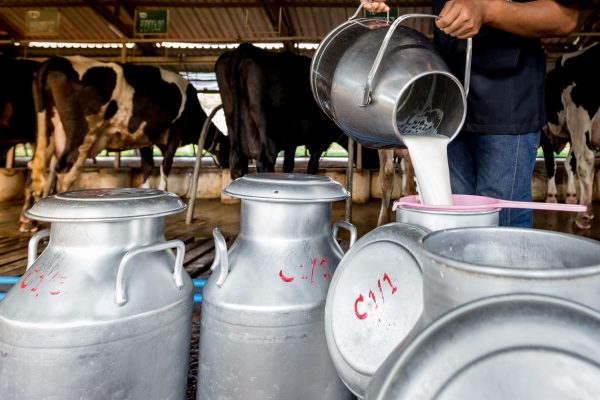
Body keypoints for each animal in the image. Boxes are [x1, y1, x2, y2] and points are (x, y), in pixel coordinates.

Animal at [19, 55, 229, 233]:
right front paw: (163, 192)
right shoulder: (174, 133)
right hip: (82, 134)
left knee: (33, 168)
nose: (227, 166)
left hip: (47, 132)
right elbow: (165, 167)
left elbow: (147, 166)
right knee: (65, 172)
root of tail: (58, 59)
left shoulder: (145, 137)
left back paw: (28, 222)